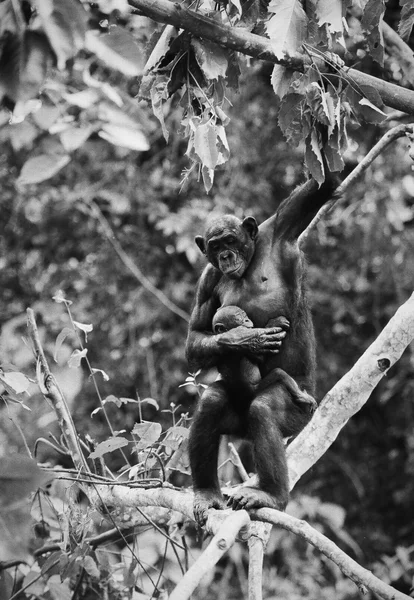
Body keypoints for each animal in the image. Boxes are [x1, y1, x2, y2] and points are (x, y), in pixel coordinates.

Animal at [186, 171, 338, 524]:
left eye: (231, 240)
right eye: (215, 246)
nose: (226, 256)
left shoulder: (281, 229)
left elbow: (319, 188)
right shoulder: (207, 280)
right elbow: (196, 334)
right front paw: (241, 339)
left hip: (299, 414)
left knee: (264, 409)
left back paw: (271, 495)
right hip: (235, 422)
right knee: (212, 402)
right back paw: (207, 492)